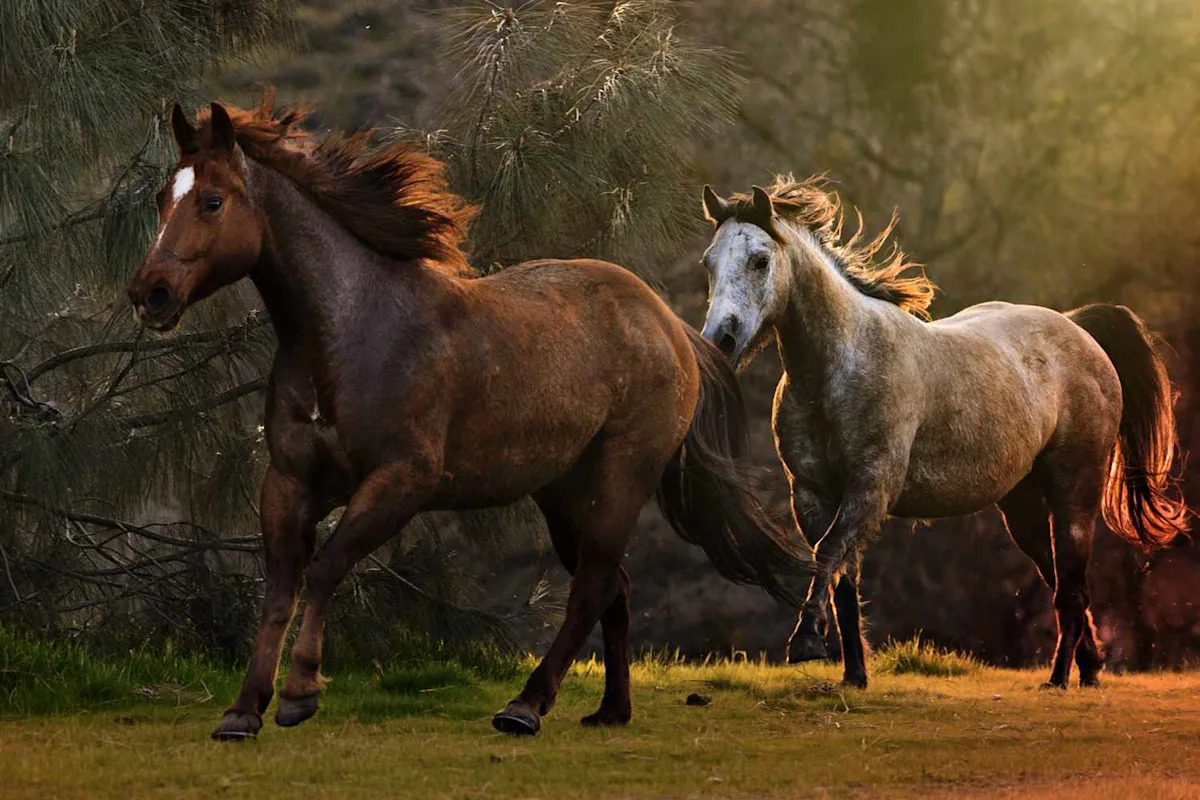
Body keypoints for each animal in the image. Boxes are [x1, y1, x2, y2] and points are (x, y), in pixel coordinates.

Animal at [125, 99, 812, 740]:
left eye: (212, 201)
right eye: (163, 197)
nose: (149, 294)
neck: (353, 334)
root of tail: (669, 324)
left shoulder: (401, 481)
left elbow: (323, 570)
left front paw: (299, 695)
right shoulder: (289, 481)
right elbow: (279, 589)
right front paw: (242, 711)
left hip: (620, 482)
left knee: (592, 589)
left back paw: (524, 707)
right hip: (563, 496)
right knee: (612, 587)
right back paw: (610, 711)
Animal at [698, 176, 1189, 690]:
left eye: (760, 260)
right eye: (709, 262)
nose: (721, 341)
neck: (840, 365)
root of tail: (1077, 328)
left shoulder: (871, 487)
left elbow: (830, 552)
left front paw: (807, 641)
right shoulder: (811, 494)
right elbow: (837, 575)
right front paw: (853, 676)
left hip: (1075, 492)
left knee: (1071, 589)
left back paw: (1059, 679)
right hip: (1022, 508)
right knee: (1066, 584)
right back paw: (1089, 672)